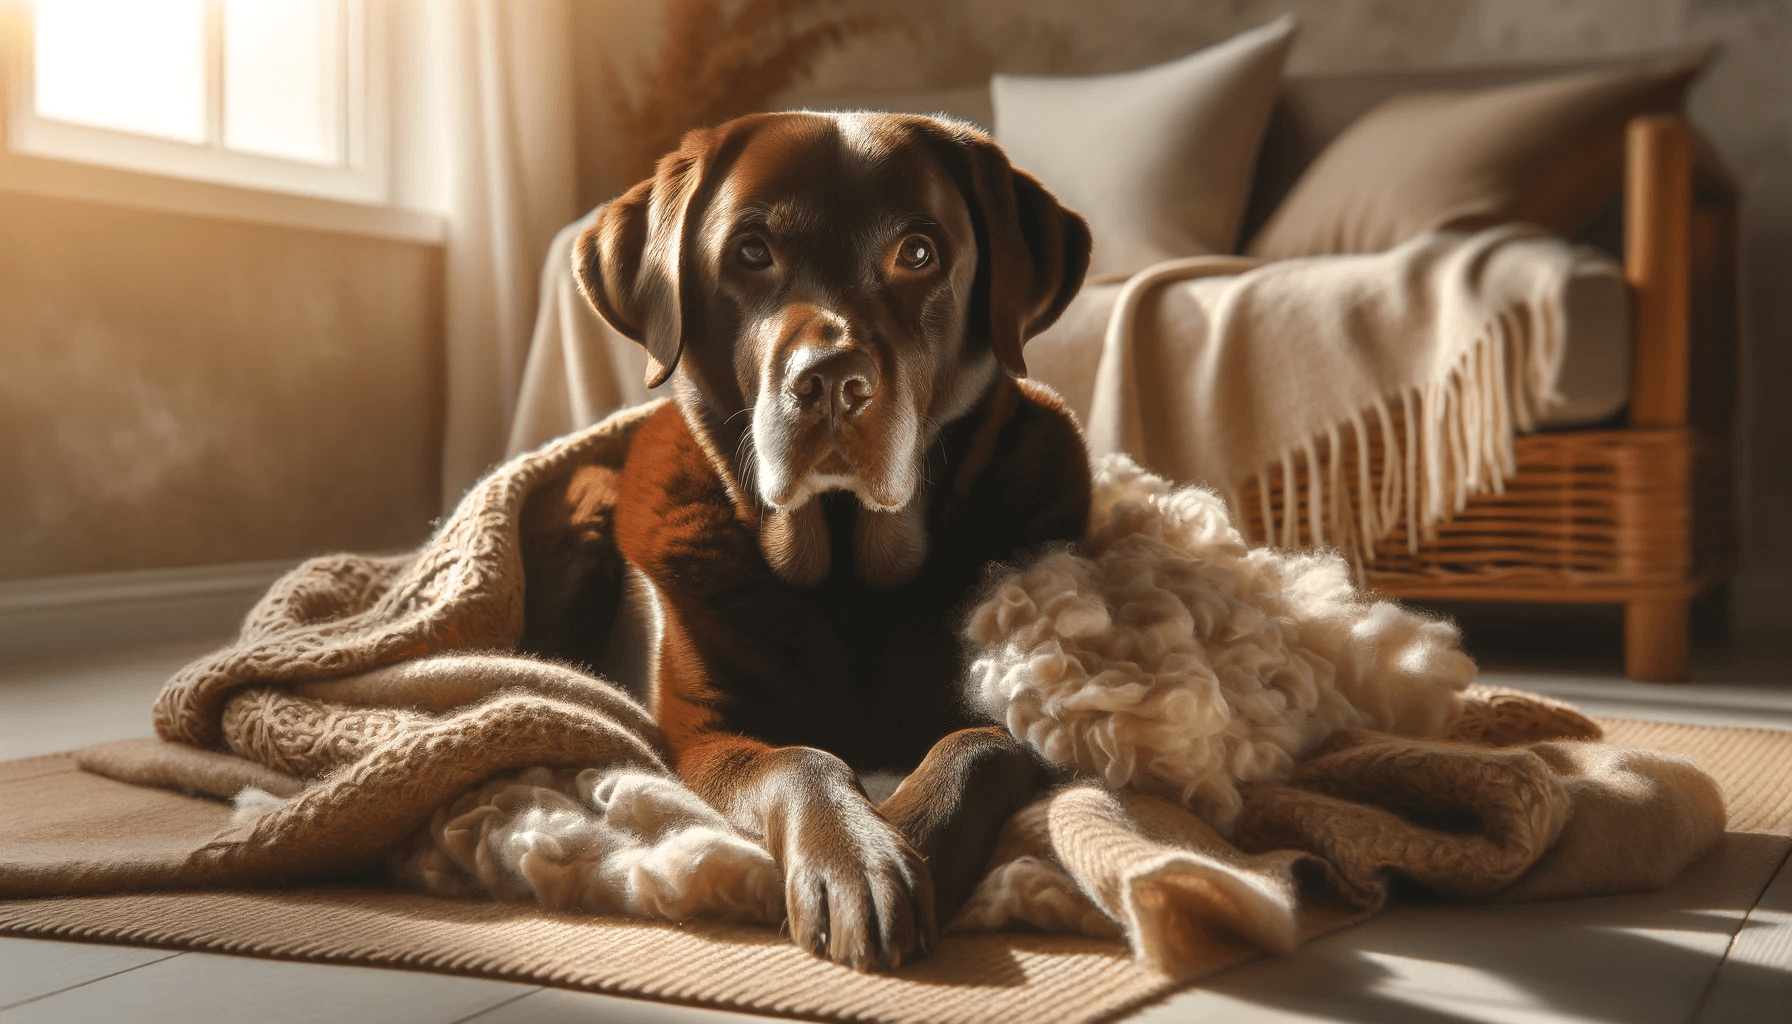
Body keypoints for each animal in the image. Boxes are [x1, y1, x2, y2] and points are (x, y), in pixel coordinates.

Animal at [519, 110, 1089, 968]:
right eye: (752, 252)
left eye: (917, 252)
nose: (828, 381)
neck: (849, 578)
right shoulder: (706, 734)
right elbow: (802, 759)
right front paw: (857, 858)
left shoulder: (1036, 706)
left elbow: (979, 745)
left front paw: (912, 837)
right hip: (584, 499)